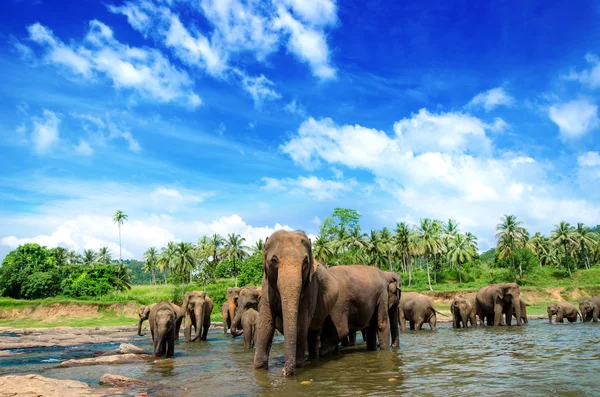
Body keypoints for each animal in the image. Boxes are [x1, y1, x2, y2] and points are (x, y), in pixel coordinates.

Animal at [252, 229, 338, 374]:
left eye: (305, 262)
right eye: (274, 260)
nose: (283, 371)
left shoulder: (310, 288)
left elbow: (302, 321)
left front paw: (298, 365)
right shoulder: (266, 287)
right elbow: (266, 322)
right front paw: (259, 367)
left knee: (314, 334)